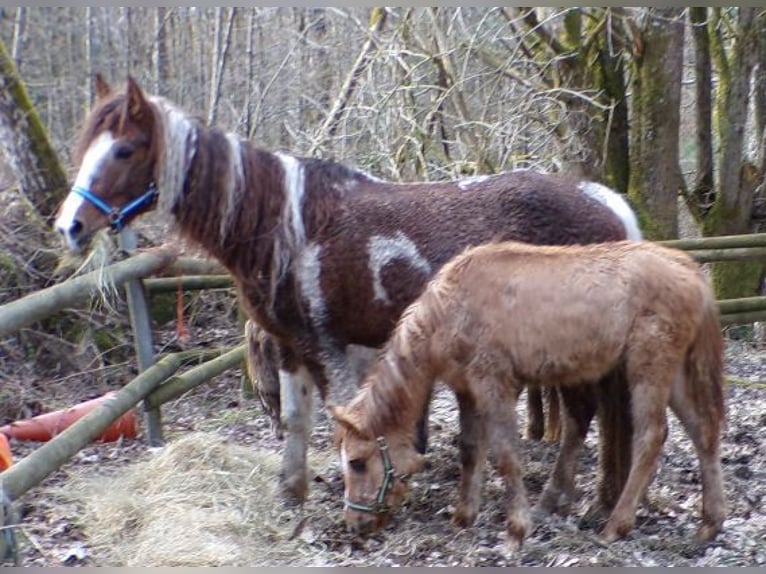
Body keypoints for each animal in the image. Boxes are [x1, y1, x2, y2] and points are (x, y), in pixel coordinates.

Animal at [54, 75, 642, 505]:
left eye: (125, 151)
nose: (69, 226)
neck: (289, 225)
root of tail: (606, 202)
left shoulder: (329, 347)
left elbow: (346, 429)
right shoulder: (291, 347)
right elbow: (297, 420)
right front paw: (290, 495)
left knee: (583, 412)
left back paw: (559, 497)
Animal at [331, 240, 726, 548]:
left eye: (357, 462)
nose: (353, 526)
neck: (452, 306)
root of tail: (692, 271)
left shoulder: (494, 384)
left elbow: (506, 454)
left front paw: (516, 528)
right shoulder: (467, 391)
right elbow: (471, 451)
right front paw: (464, 515)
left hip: (649, 367)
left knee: (651, 436)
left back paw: (617, 524)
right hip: (675, 374)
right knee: (703, 432)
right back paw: (710, 523)